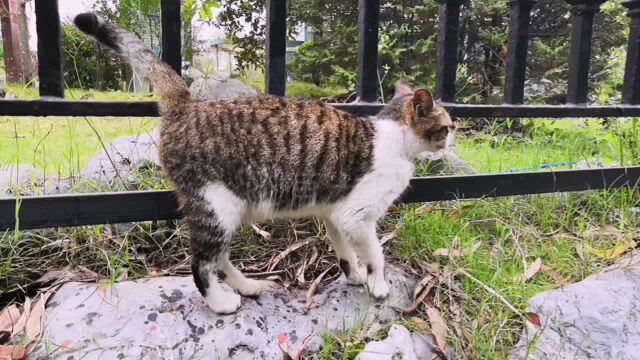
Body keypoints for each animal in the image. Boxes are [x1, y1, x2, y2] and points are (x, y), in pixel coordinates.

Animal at [75, 12, 456, 314]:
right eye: (448, 126)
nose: (455, 136)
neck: (395, 138)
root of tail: (187, 105)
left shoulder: (334, 215)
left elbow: (345, 251)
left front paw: (354, 275)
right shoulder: (357, 216)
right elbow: (377, 253)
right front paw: (377, 284)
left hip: (228, 209)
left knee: (219, 256)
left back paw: (245, 286)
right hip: (216, 205)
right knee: (200, 262)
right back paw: (221, 302)